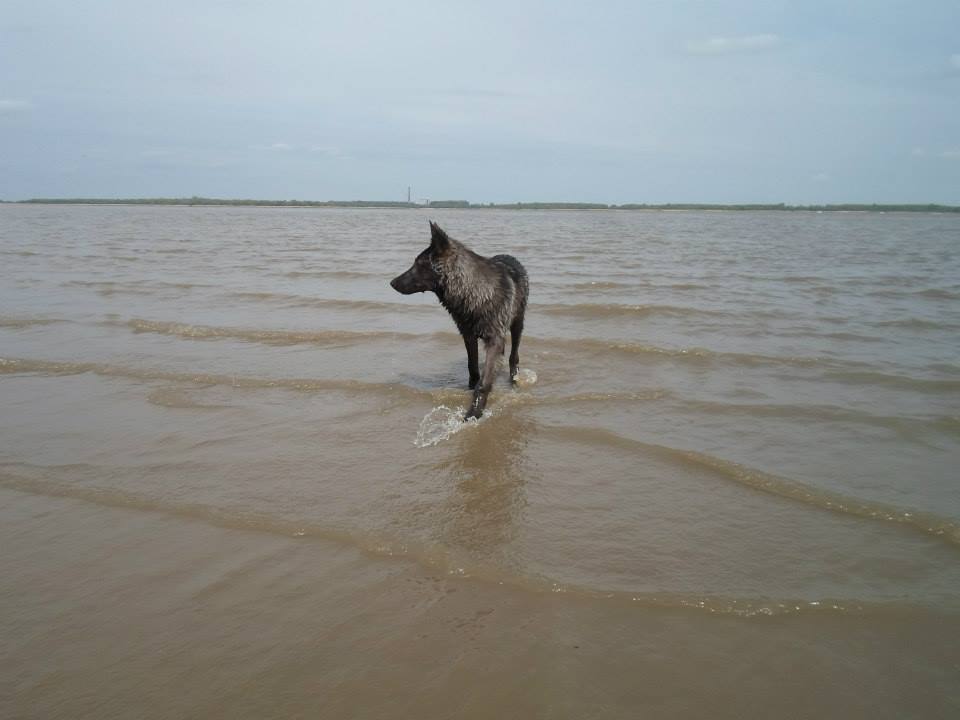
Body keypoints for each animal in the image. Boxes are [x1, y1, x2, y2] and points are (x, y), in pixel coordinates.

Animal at [386, 222, 528, 420]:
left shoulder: (493, 339)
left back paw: (514, 379)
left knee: (514, 356)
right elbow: (473, 368)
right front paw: (469, 391)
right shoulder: (468, 335)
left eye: (418, 264)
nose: (392, 282)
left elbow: (484, 382)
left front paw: (474, 413)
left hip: (517, 324)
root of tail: (509, 256)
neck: (473, 293)